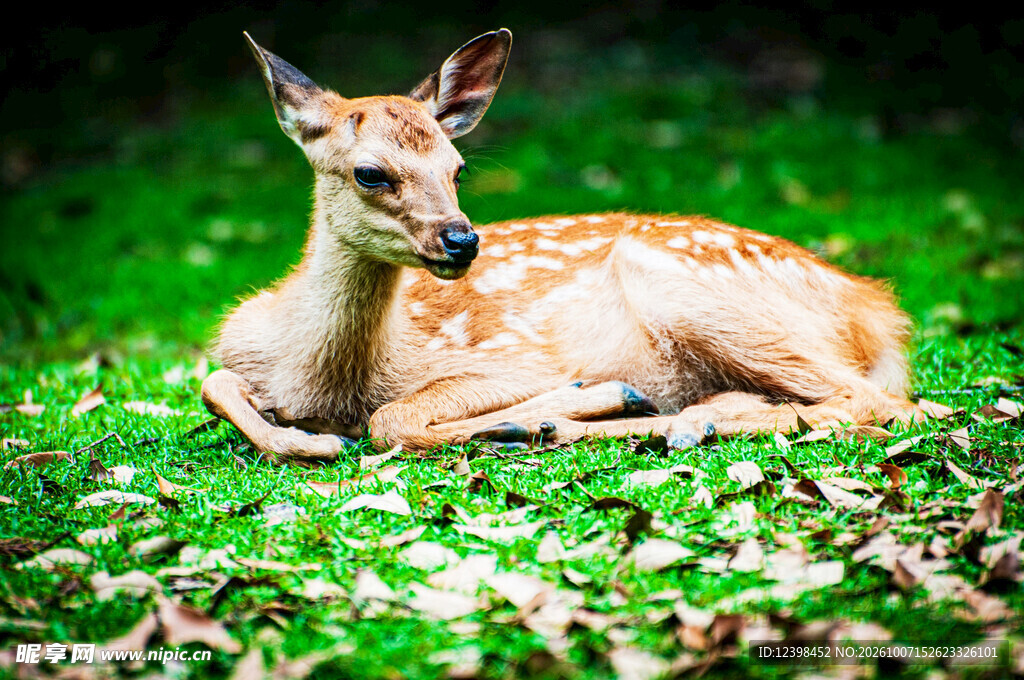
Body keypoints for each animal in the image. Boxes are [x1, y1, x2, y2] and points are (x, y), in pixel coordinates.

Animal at [201, 28, 926, 465]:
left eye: (457, 168)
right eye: (370, 173)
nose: (463, 240)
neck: (318, 379)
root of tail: (877, 309)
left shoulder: (514, 359)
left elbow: (396, 419)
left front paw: (563, 404)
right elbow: (213, 383)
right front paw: (300, 438)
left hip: (684, 286)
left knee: (887, 404)